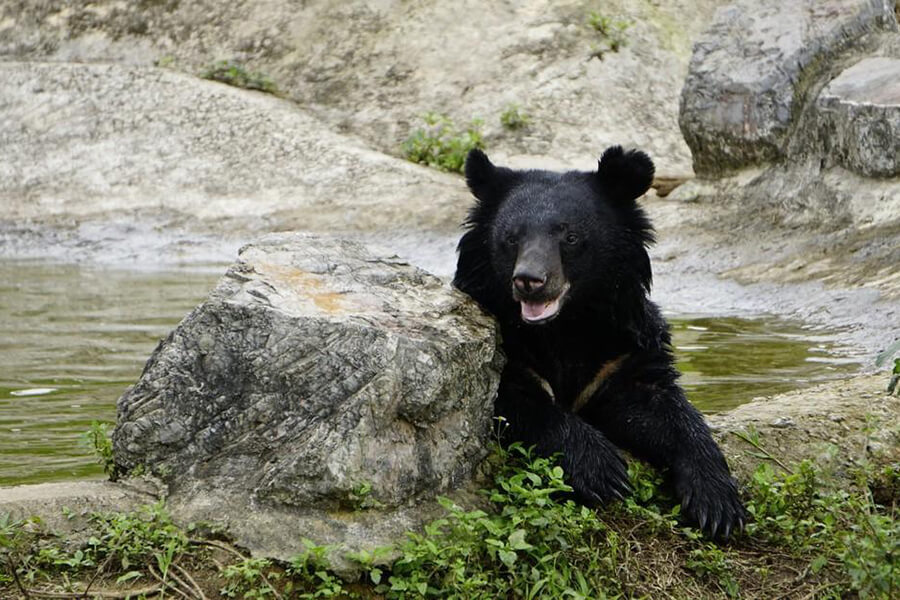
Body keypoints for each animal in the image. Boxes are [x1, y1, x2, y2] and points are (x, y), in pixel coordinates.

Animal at [458, 146, 744, 540]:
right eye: (511, 238)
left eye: (570, 237)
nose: (529, 280)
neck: (565, 325)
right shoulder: (509, 349)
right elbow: (522, 403)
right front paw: (604, 471)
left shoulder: (619, 352)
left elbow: (665, 409)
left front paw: (718, 504)